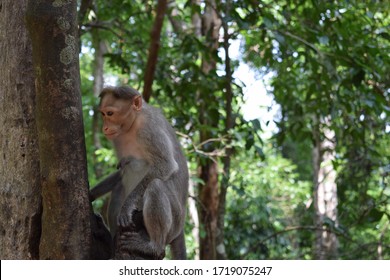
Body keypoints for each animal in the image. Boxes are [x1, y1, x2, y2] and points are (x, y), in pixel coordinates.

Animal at [90, 86, 190, 260]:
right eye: (103, 114)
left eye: (110, 113)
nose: (105, 127)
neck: (132, 125)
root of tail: (180, 228)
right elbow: (121, 172)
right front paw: (91, 194)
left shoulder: (149, 130)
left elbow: (166, 166)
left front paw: (126, 207)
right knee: (119, 187)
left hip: (174, 223)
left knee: (156, 186)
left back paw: (153, 246)